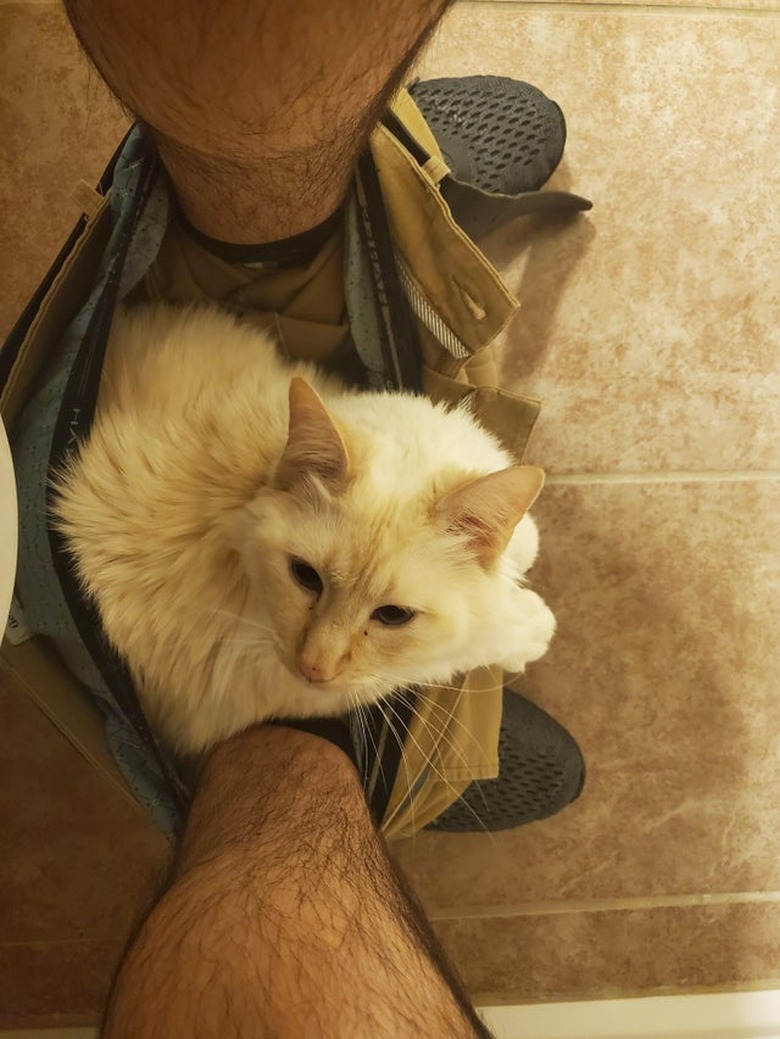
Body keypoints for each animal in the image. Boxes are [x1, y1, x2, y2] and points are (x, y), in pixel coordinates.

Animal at [51, 303, 556, 756]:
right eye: (305, 577)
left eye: (393, 615)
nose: (314, 667)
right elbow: (477, 639)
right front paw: (534, 626)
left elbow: (519, 532)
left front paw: (521, 550)